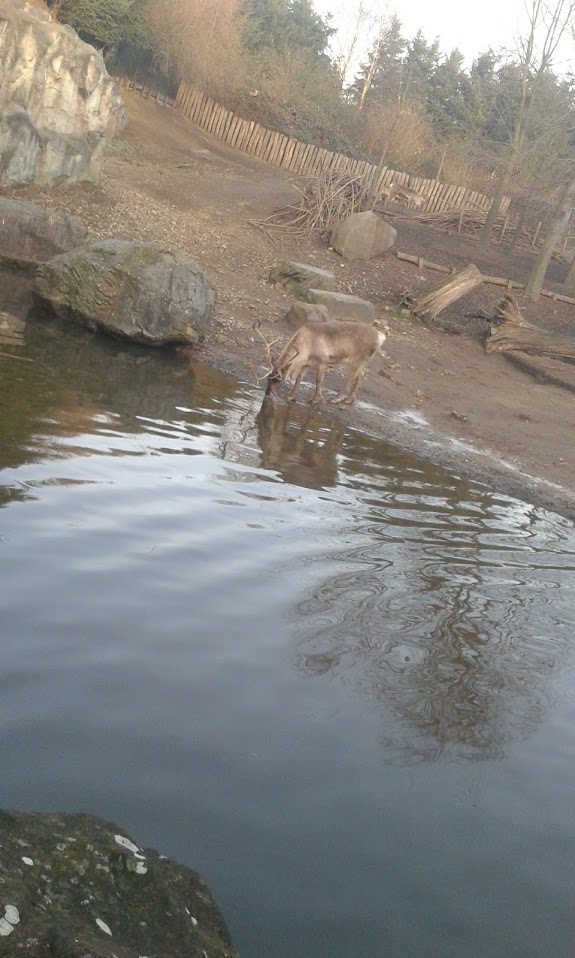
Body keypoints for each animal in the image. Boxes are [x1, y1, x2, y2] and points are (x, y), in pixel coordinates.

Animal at [256, 315, 388, 406]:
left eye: (280, 379)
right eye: (269, 377)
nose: (268, 393)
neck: (305, 345)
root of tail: (380, 336)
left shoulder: (323, 362)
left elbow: (318, 380)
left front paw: (316, 399)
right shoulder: (306, 364)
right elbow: (299, 378)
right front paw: (291, 396)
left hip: (354, 361)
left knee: (351, 378)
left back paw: (336, 398)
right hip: (361, 361)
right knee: (362, 375)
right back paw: (349, 399)